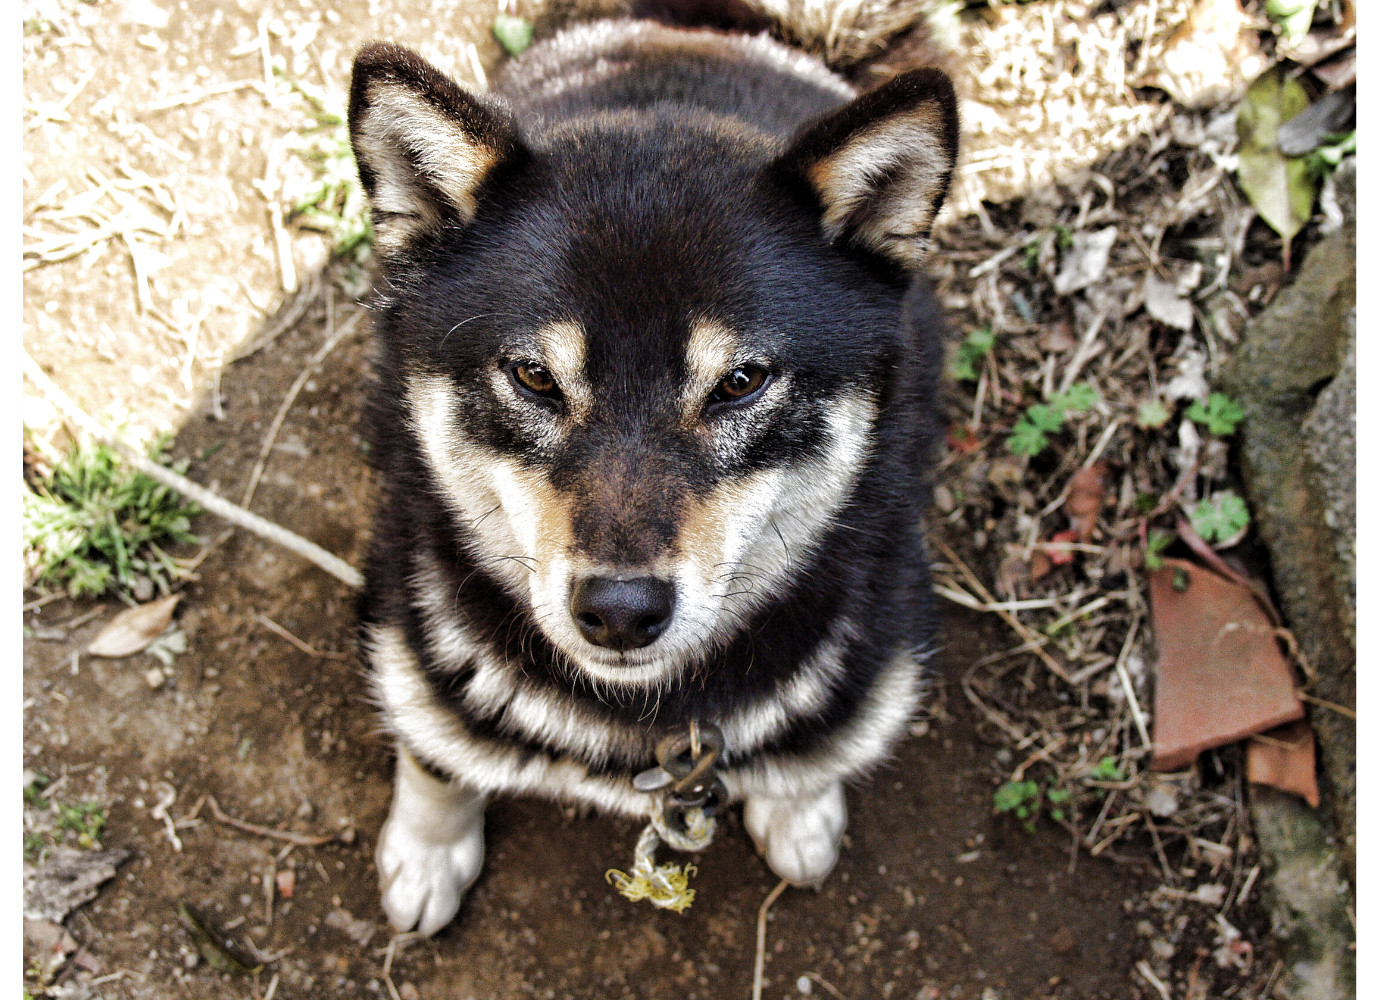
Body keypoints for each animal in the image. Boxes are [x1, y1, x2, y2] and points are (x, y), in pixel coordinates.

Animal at [350, 1, 954, 937]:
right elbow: (435, 752)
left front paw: (801, 808)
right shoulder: (412, 630)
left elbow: (821, 751)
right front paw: (428, 848)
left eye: (741, 381)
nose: (621, 613)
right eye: (534, 375)